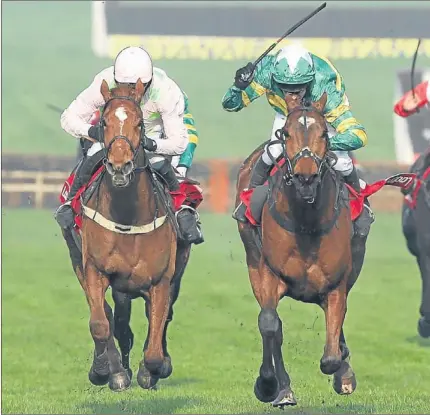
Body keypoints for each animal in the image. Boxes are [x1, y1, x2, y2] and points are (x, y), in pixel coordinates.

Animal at [60, 79, 190, 394]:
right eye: (104, 122)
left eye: (140, 123)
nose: (120, 166)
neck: (127, 218)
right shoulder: (93, 270)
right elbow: (100, 323)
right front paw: (105, 371)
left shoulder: (161, 279)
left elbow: (156, 335)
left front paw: (151, 371)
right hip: (80, 260)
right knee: (112, 317)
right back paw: (117, 369)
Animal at [235, 92, 366, 408]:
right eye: (286, 133)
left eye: (324, 134)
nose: (306, 176)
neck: (306, 222)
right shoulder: (268, 273)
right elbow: (270, 324)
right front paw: (268, 384)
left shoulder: (336, 284)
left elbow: (331, 354)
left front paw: (344, 374)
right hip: (252, 259)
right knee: (275, 327)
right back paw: (283, 390)